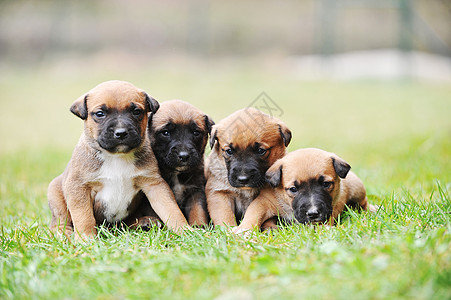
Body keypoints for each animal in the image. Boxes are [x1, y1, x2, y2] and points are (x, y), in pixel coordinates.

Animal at [48, 80, 190, 241]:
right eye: (100, 114)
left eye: (136, 112)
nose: (121, 133)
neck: (116, 156)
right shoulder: (78, 187)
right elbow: (84, 217)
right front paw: (86, 238)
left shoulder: (154, 185)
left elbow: (171, 209)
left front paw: (185, 230)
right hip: (55, 193)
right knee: (59, 222)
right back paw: (64, 233)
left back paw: (145, 222)